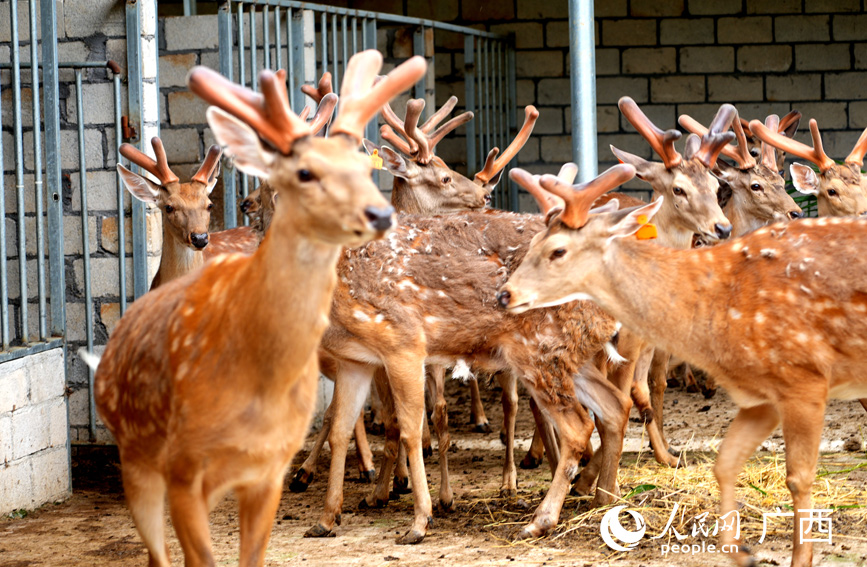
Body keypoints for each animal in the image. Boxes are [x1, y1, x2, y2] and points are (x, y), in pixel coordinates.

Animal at [498, 161, 867, 567]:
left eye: (557, 250)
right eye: (531, 243)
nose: (505, 293)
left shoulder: (797, 385)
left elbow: (788, 475)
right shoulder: (768, 394)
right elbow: (725, 461)